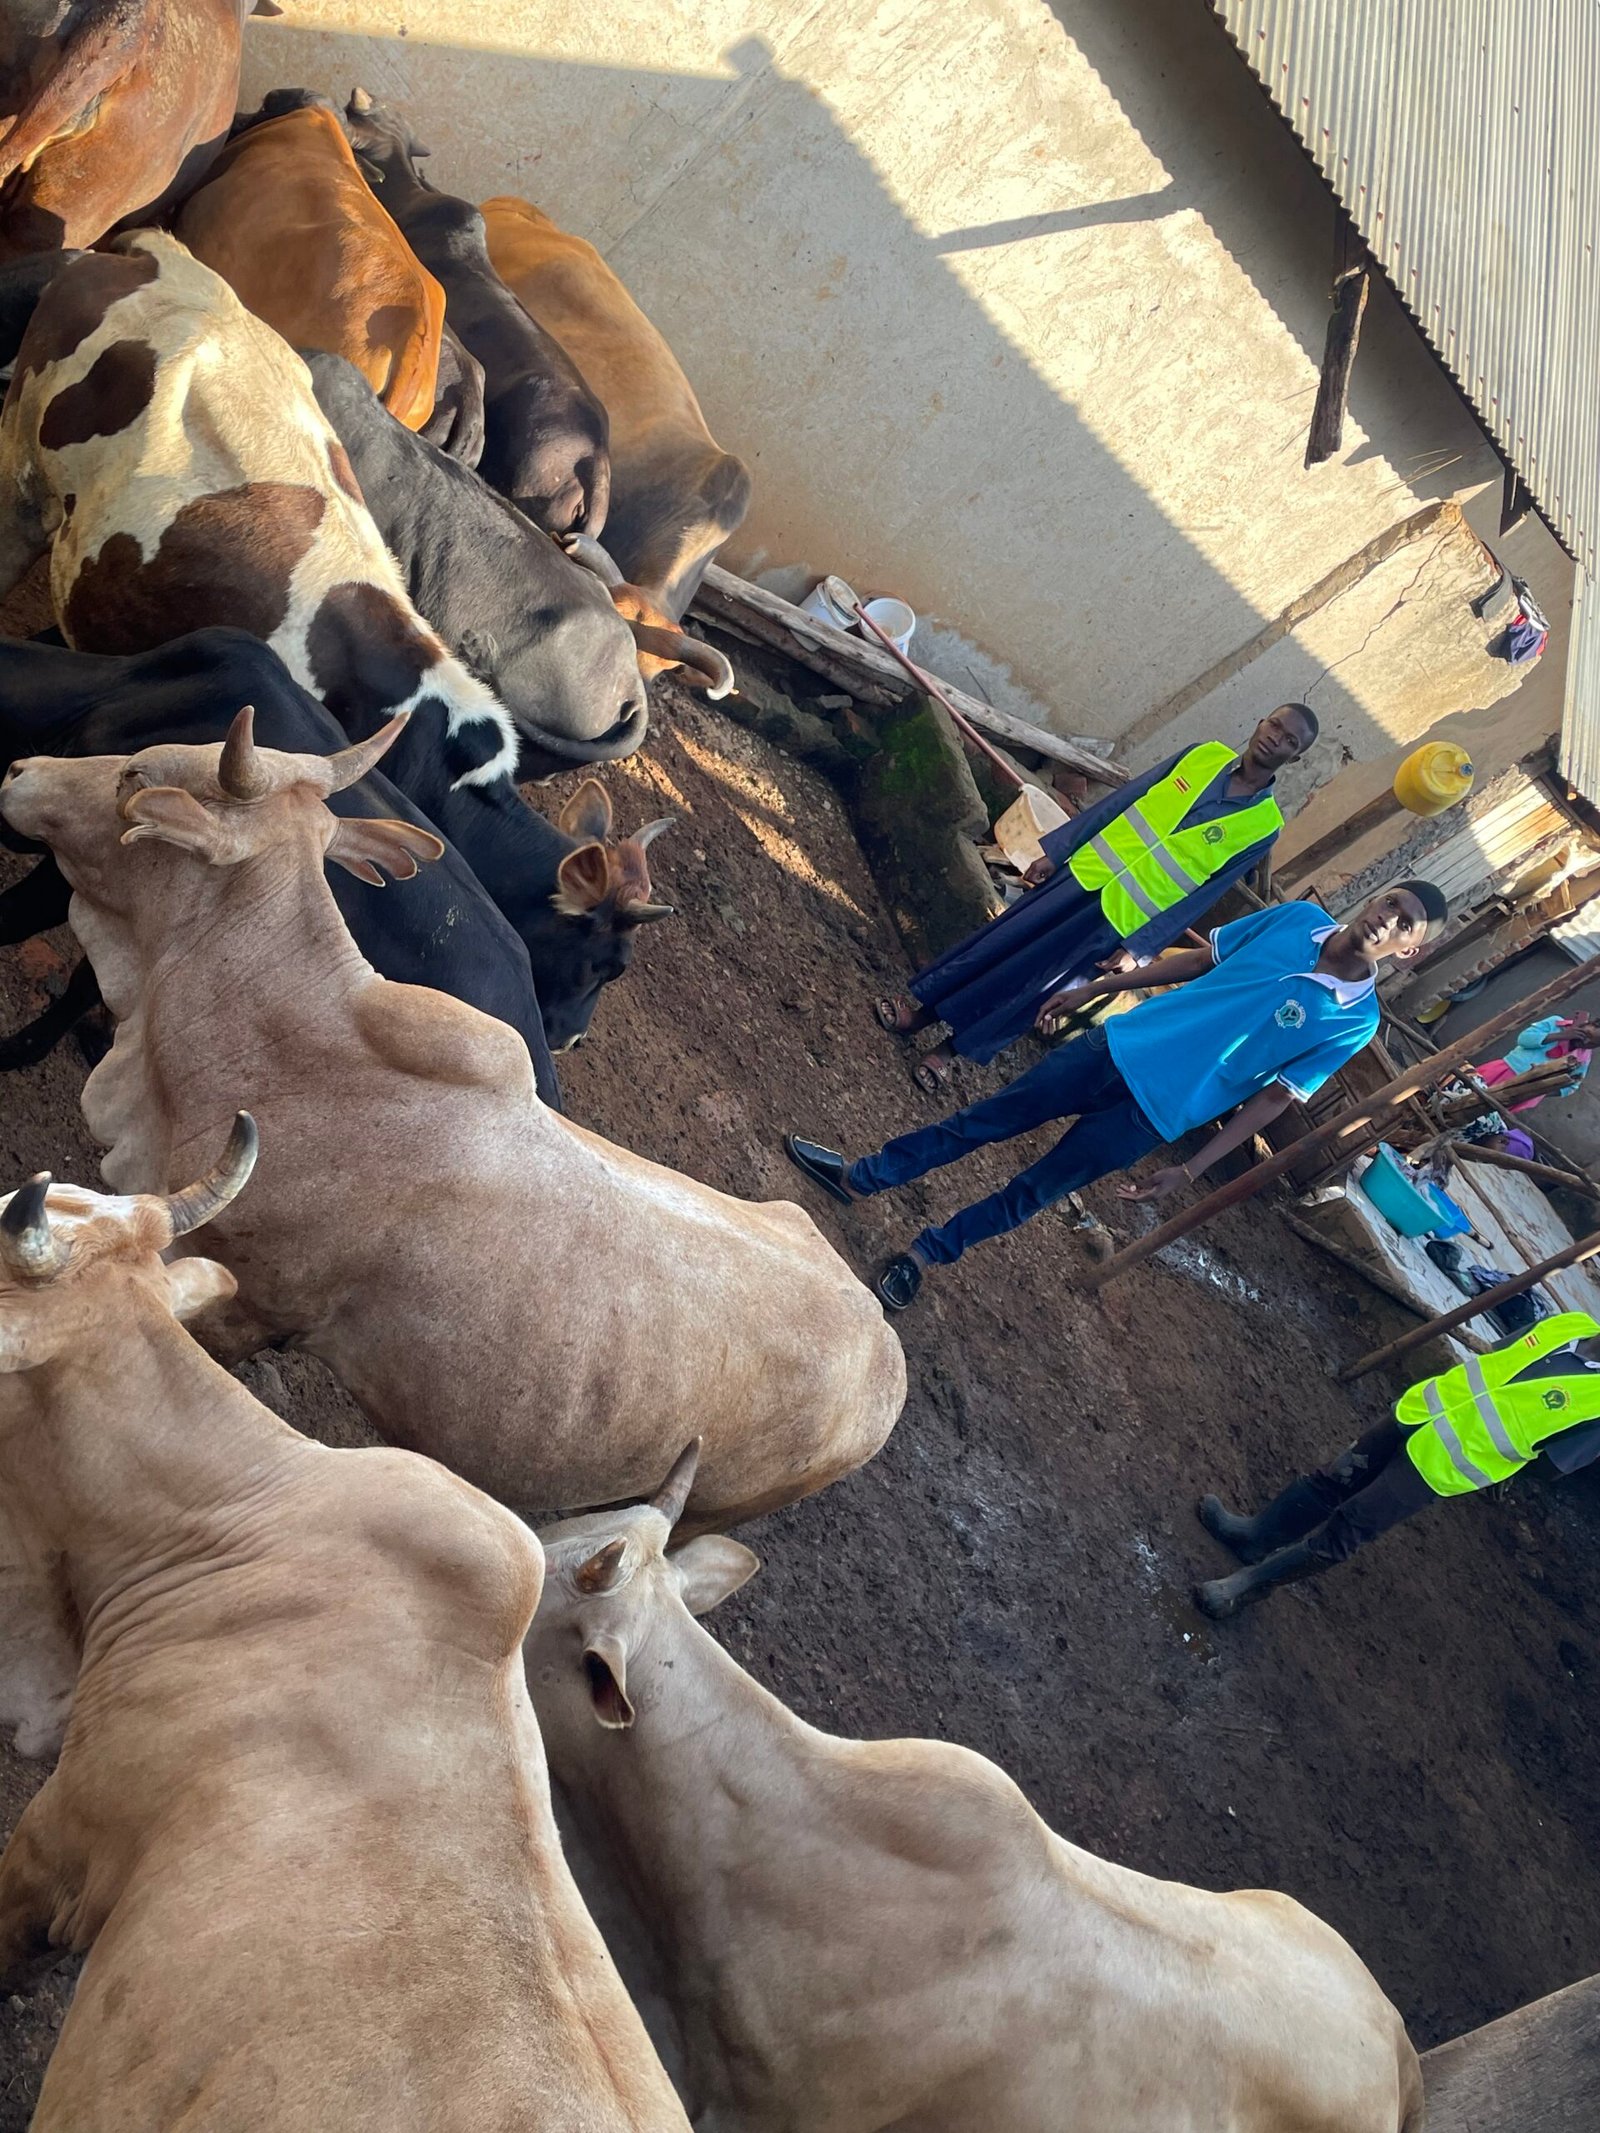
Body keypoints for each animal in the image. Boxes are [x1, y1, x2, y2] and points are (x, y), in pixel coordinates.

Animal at [0, 713, 907, 1528]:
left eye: (136, 775)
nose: (19, 769)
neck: (295, 1040)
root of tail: (885, 1352)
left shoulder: (254, 1305)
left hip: (705, 1515)